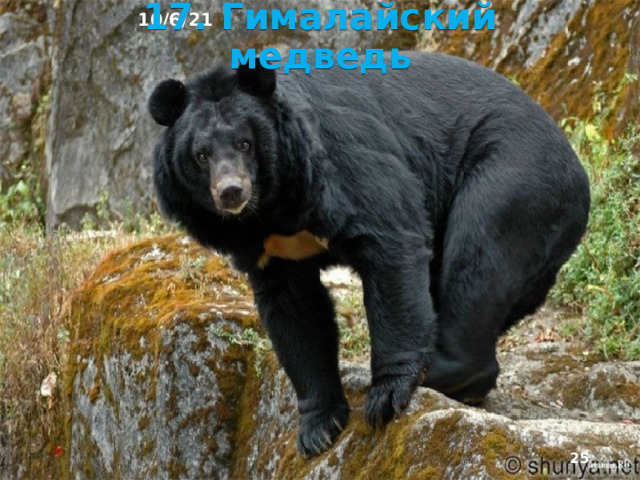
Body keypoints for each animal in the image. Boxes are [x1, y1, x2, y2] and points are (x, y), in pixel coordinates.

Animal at [148, 51, 590, 456]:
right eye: (201, 154)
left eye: (245, 143)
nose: (231, 192)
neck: (270, 211)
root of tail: (576, 167)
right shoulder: (273, 253)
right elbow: (295, 313)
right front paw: (318, 428)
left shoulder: (338, 167)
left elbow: (390, 241)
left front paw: (386, 396)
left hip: (514, 180)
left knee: (476, 264)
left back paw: (444, 373)